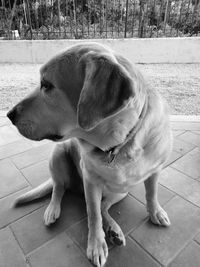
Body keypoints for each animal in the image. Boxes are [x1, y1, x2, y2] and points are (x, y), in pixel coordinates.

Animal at [6, 43, 172, 267]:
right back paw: (53, 210)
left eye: (46, 85)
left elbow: (151, 193)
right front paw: (96, 245)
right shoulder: (90, 180)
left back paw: (113, 230)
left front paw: (156, 212)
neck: (117, 145)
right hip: (58, 155)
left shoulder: (155, 170)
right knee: (59, 188)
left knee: (103, 207)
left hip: (121, 191)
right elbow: (92, 215)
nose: (9, 114)